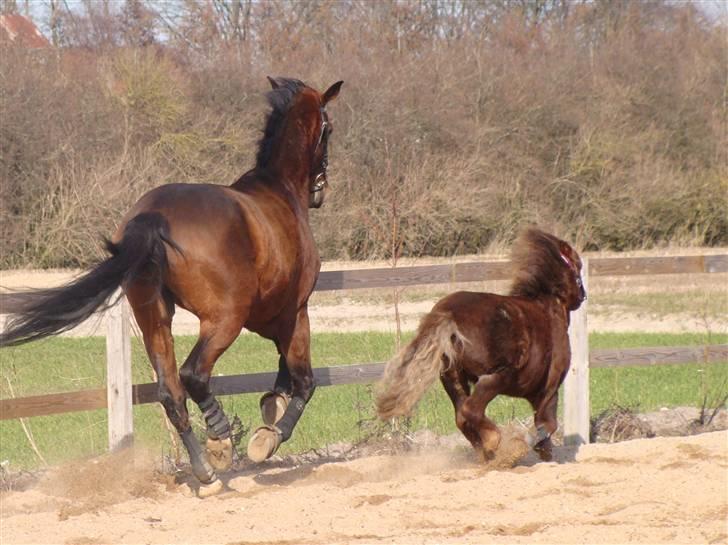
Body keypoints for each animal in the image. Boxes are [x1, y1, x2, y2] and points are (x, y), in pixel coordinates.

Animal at [0, 77, 344, 492]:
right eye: (328, 128)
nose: (321, 192)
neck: (280, 190)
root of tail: (153, 215)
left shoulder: (270, 315)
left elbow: (285, 368)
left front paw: (270, 405)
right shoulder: (294, 310)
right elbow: (304, 380)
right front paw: (268, 437)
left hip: (155, 318)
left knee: (170, 392)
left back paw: (206, 474)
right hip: (223, 319)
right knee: (193, 375)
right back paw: (220, 442)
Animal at [376, 227, 584, 462]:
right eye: (578, 266)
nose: (582, 296)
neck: (549, 306)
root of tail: (448, 315)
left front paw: (544, 450)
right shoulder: (549, 388)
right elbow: (548, 424)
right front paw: (537, 446)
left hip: (453, 377)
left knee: (461, 417)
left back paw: (486, 451)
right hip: (496, 377)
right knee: (470, 410)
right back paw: (494, 442)